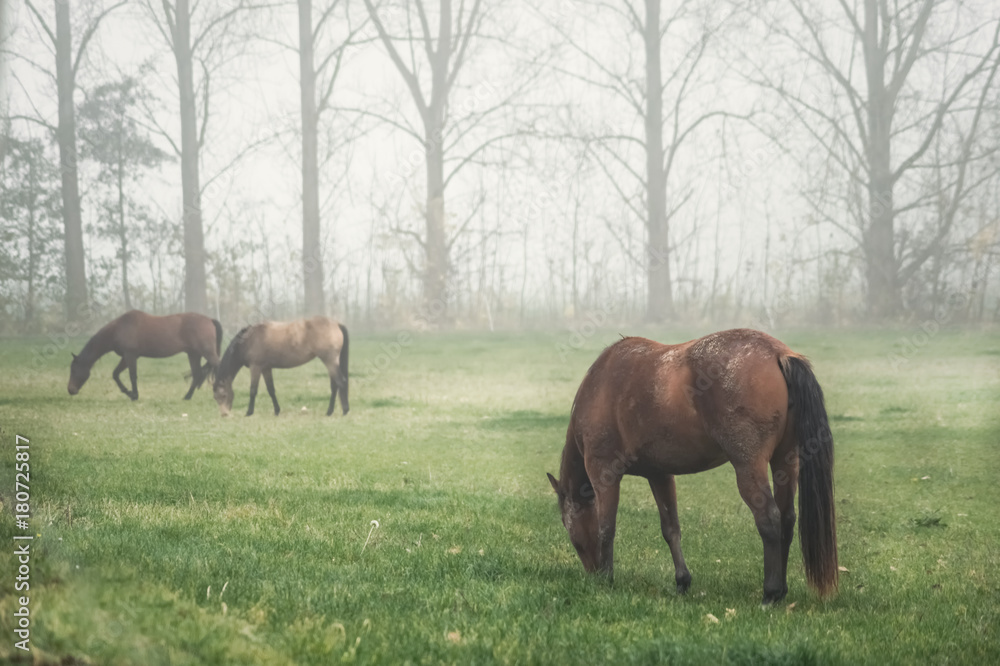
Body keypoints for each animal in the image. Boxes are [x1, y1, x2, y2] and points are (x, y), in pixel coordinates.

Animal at [68, 310, 223, 401]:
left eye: (74, 370)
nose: (70, 390)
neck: (119, 328)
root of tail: (209, 320)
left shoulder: (130, 356)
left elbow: (132, 376)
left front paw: (134, 395)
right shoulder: (126, 357)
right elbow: (115, 374)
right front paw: (128, 392)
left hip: (206, 352)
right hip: (193, 354)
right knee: (197, 374)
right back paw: (187, 396)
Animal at [212, 316, 349, 417]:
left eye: (223, 395)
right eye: (215, 397)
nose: (224, 414)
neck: (248, 340)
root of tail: (336, 324)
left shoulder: (255, 367)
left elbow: (253, 390)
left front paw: (249, 412)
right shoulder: (266, 368)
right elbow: (271, 390)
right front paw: (277, 410)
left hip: (329, 361)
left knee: (340, 382)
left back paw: (344, 410)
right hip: (330, 363)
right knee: (334, 386)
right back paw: (330, 411)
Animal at [546, 328, 837, 605]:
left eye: (573, 536)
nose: (592, 573)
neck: (600, 385)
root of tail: (778, 354)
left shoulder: (604, 474)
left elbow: (607, 528)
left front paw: (606, 579)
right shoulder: (660, 475)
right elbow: (670, 529)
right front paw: (682, 581)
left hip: (749, 467)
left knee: (770, 519)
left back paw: (771, 592)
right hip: (786, 462)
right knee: (787, 518)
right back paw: (782, 591)